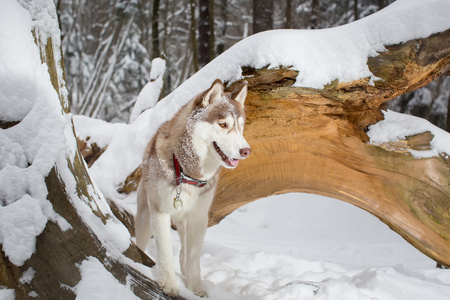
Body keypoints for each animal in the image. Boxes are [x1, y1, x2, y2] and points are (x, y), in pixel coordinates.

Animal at [135, 78, 251, 296]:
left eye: (241, 127)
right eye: (223, 124)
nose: (246, 151)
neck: (187, 174)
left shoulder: (198, 217)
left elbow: (193, 257)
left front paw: (196, 288)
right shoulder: (160, 213)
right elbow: (165, 251)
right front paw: (169, 284)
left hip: (184, 221)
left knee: (184, 250)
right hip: (145, 218)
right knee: (141, 241)